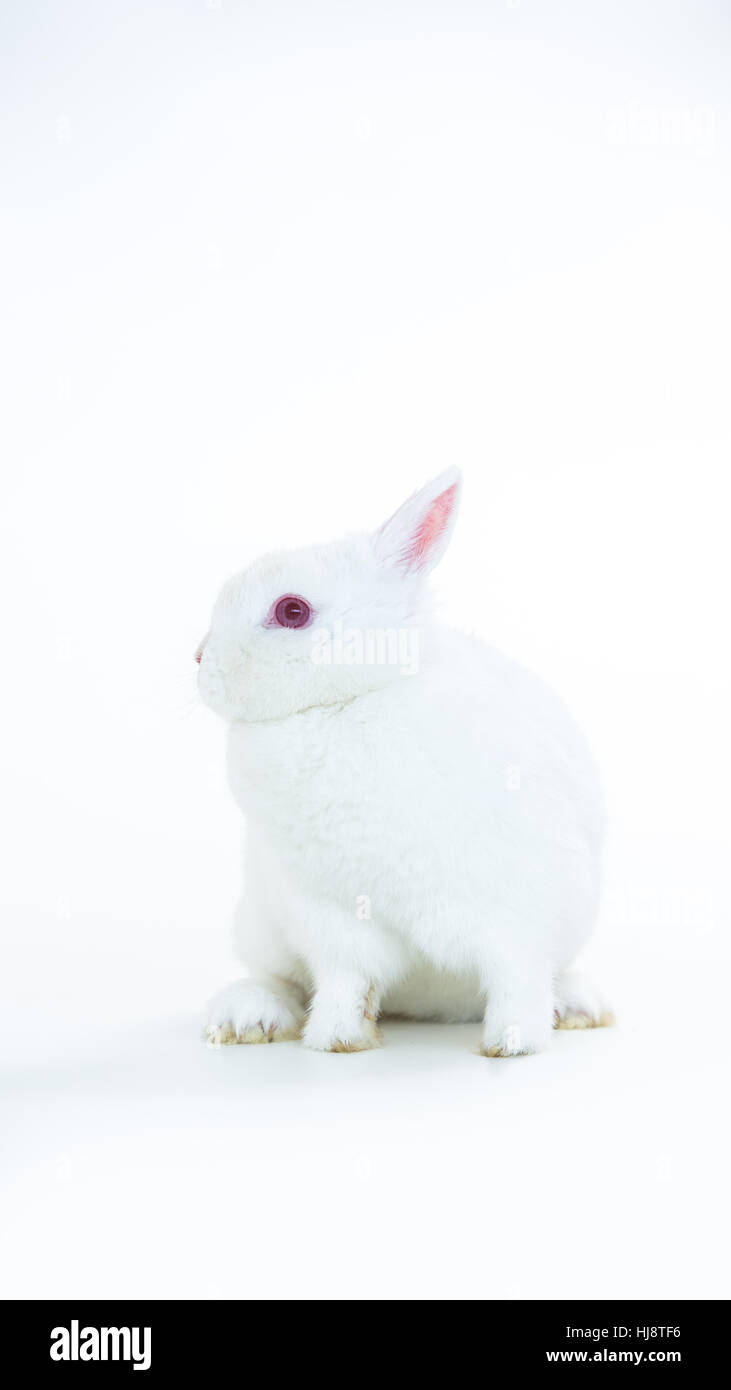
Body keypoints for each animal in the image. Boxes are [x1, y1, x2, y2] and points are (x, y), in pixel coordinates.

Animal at [198, 467, 612, 1056]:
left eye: (292, 611)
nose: (198, 662)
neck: (355, 698)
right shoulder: (331, 916)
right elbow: (346, 981)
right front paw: (336, 1040)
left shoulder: (519, 908)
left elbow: (518, 978)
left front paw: (513, 1045)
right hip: (262, 922)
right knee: (276, 978)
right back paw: (248, 1018)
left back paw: (578, 1007)